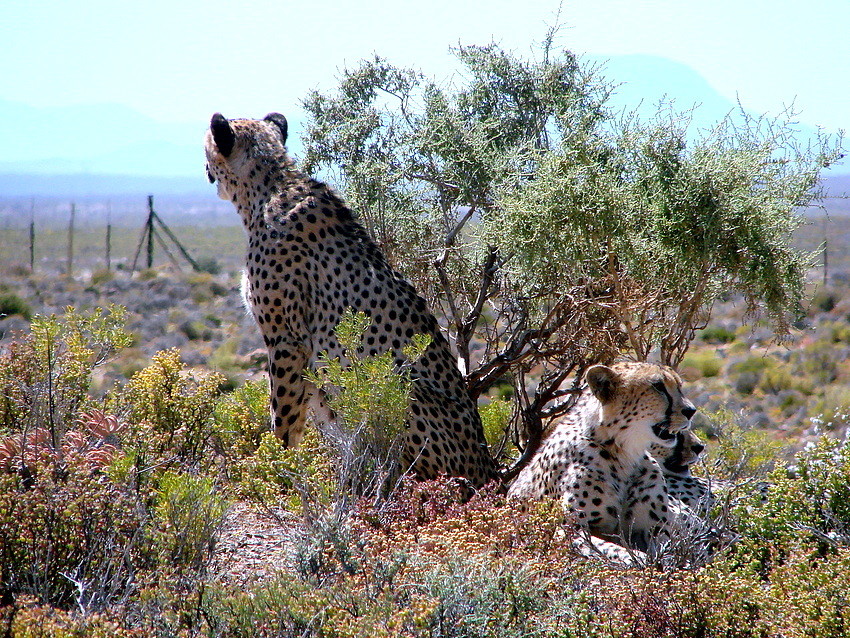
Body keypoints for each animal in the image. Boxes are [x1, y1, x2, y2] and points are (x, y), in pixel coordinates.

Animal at [506, 364, 692, 556]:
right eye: (658, 386)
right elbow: (617, 551)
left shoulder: (654, 530)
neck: (625, 452)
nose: (691, 411)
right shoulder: (569, 530)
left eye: (679, 385)